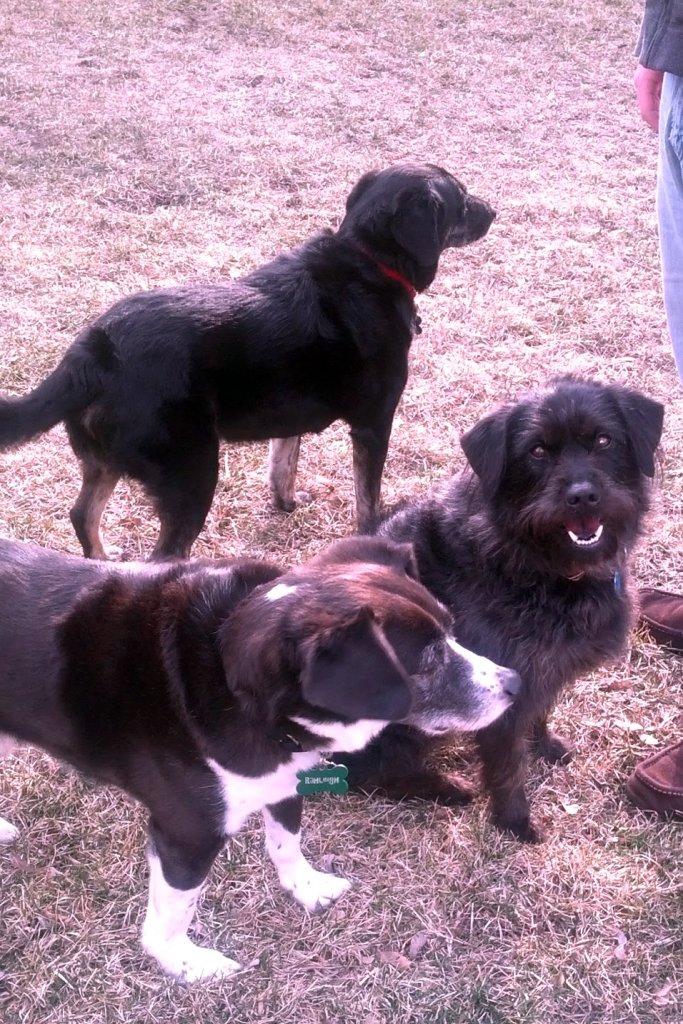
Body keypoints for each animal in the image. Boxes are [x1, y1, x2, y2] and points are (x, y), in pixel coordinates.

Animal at [0, 163, 495, 560]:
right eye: (461, 199)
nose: (493, 211)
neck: (367, 261)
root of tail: (96, 351)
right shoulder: (374, 424)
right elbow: (367, 498)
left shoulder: (292, 415)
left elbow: (282, 465)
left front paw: (286, 505)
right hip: (192, 475)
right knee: (161, 556)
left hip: (105, 462)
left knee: (82, 515)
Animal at [0, 534, 519, 981]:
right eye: (428, 661)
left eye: (452, 630)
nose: (515, 684)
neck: (237, 679)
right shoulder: (187, 832)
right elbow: (173, 912)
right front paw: (183, 963)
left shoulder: (284, 778)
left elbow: (286, 843)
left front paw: (307, 889)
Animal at [340, 377, 664, 843]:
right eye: (537, 451)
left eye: (603, 440)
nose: (583, 496)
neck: (537, 563)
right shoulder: (500, 689)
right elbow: (508, 767)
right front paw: (515, 823)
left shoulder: (541, 672)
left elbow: (540, 712)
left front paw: (543, 745)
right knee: (368, 770)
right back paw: (442, 787)